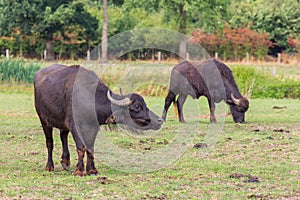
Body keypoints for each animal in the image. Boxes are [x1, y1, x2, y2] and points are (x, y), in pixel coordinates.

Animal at [34, 64, 163, 175]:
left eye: (145, 104)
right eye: (137, 106)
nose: (160, 120)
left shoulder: (94, 127)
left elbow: (90, 148)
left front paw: (92, 170)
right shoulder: (75, 127)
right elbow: (81, 147)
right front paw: (79, 170)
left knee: (63, 136)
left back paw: (65, 162)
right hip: (44, 120)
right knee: (50, 142)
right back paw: (49, 166)